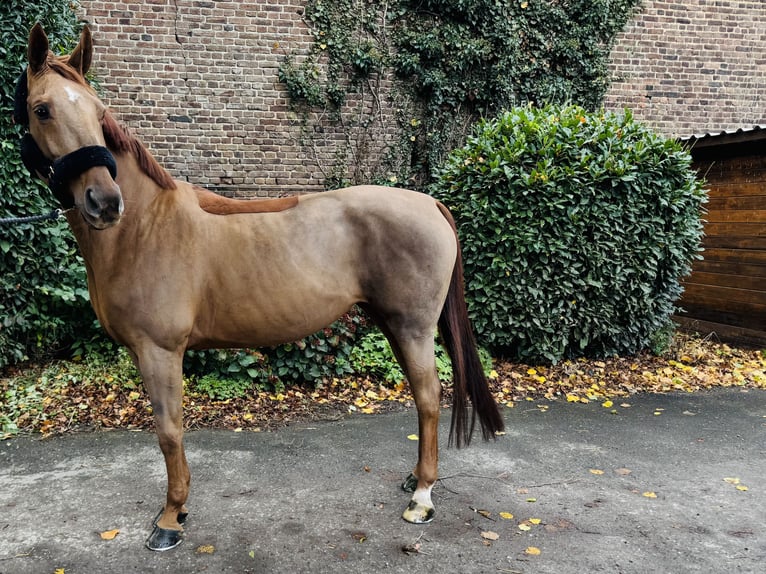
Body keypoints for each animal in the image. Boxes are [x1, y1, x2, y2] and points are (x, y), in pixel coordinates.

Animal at [17, 23, 504, 551]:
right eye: (43, 109)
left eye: (96, 110)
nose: (104, 202)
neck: (144, 227)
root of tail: (429, 203)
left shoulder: (159, 351)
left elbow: (168, 431)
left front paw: (170, 518)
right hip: (393, 324)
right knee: (421, 399)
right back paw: (415, 478)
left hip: (414, 327)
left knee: (430, 397)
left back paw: (421, 498)